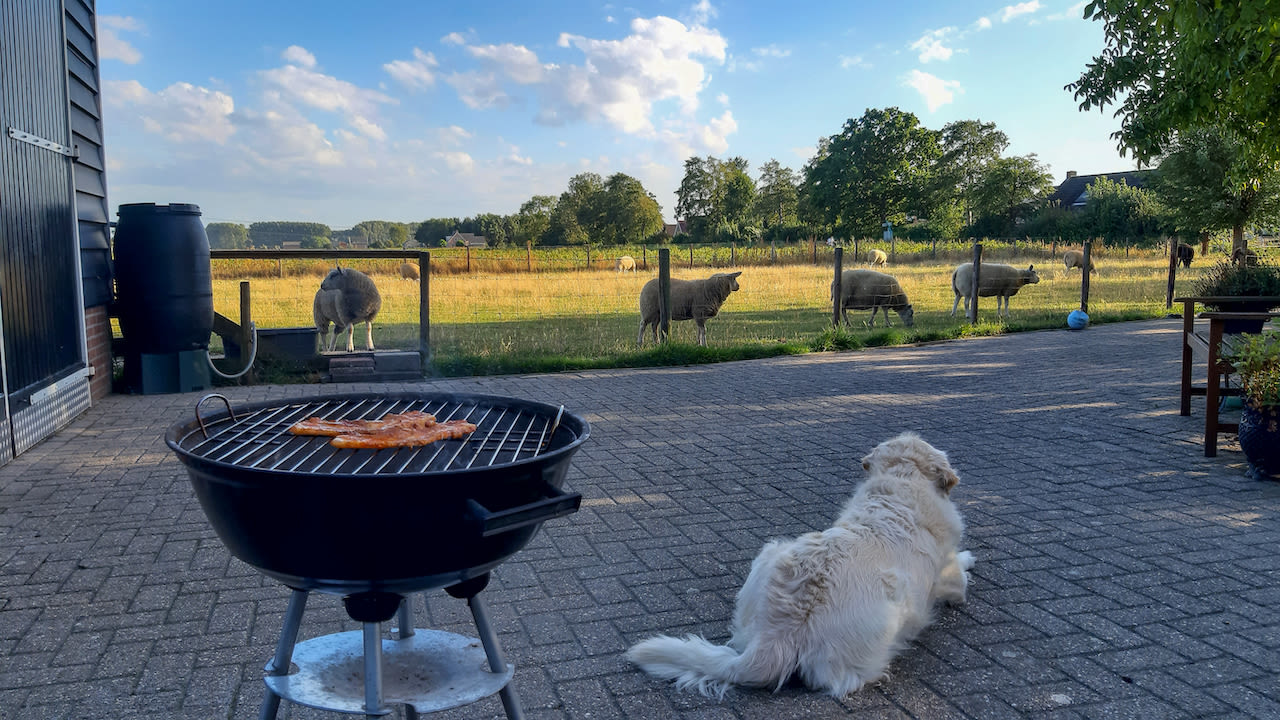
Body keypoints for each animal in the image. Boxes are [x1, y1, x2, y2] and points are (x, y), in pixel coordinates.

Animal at [624, 430, 972, 696]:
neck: (901, 483)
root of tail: (780, 629)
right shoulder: (948, 577)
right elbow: (961, 575)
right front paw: (969, 559)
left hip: (771, 554)